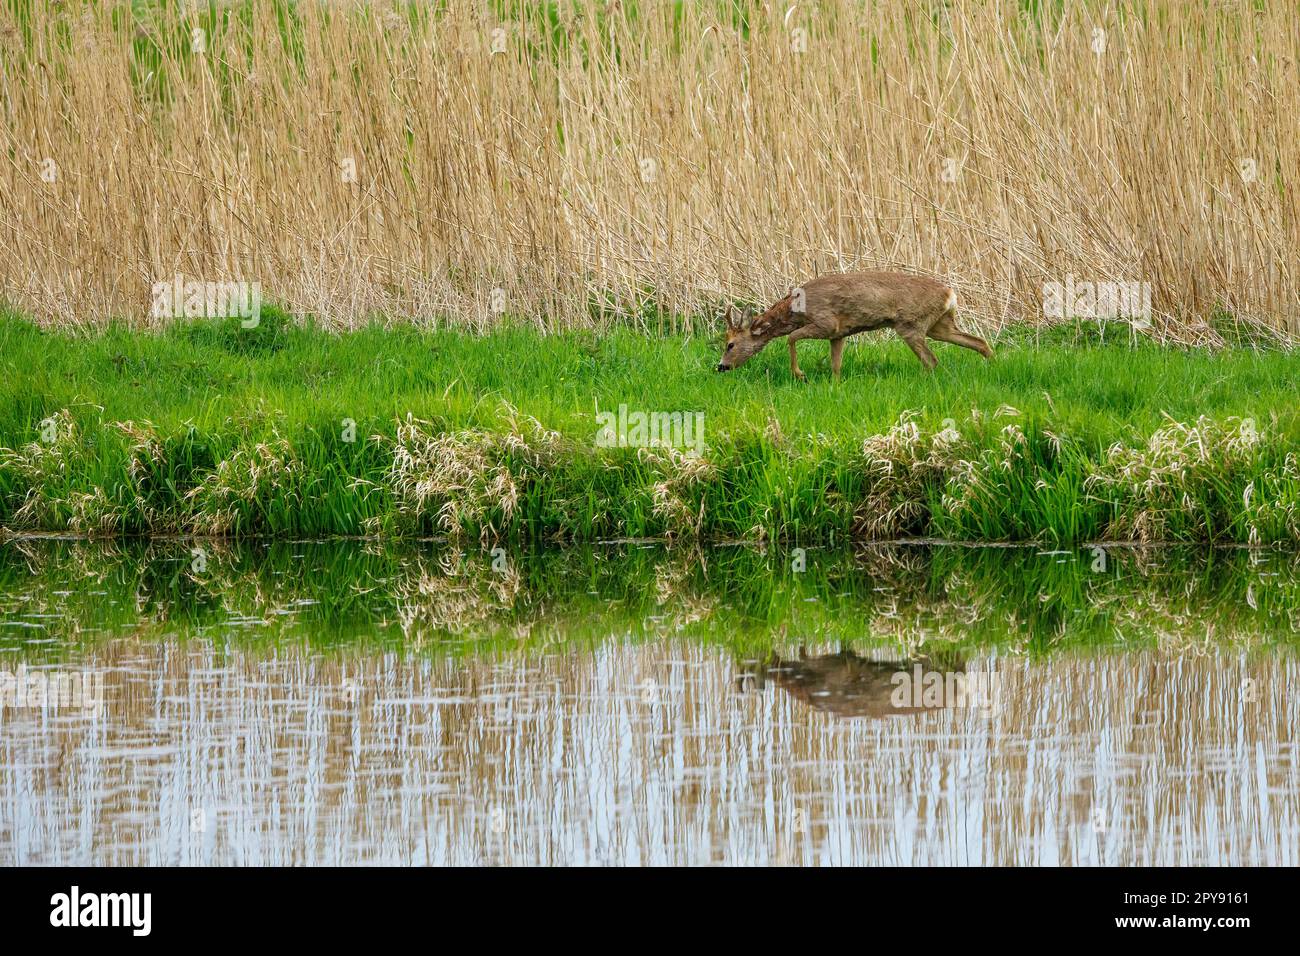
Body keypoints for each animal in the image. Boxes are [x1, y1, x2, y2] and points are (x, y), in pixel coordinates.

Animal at [717, 270, 987, 379]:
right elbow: (836, 365)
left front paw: (800, 374)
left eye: (730, 344)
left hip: (911, 325)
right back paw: (991, 365)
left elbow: (791, 337)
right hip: (939, 325)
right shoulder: (839, 333)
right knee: (980, 342)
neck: (796, 308)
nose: (721, 366)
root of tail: (950, 293)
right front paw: (834, 387)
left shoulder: (826, 322)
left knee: (932, 360)